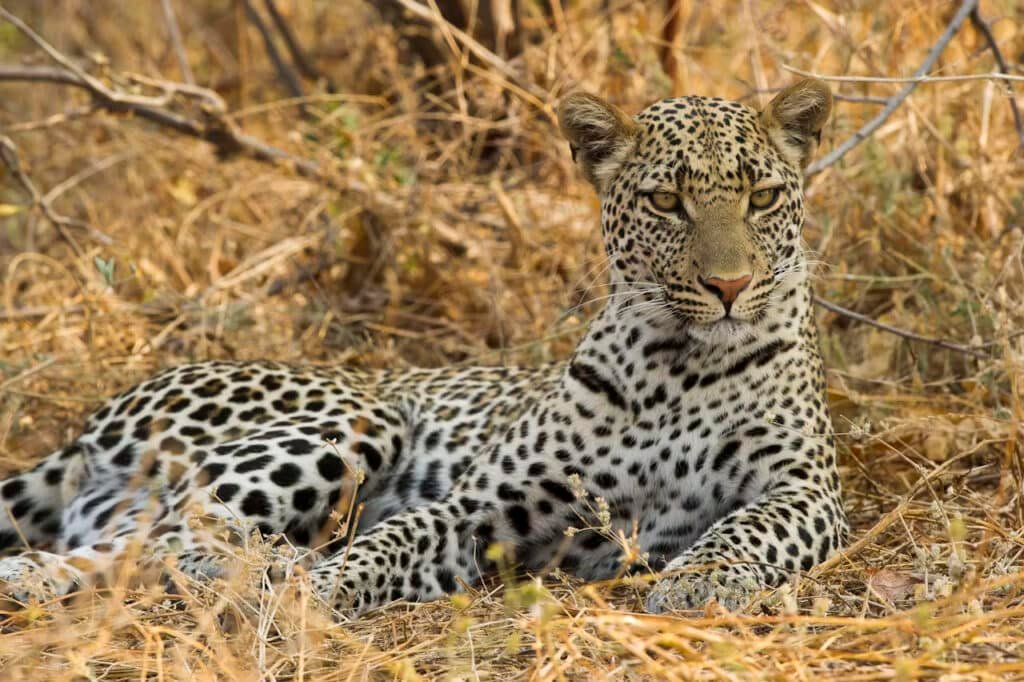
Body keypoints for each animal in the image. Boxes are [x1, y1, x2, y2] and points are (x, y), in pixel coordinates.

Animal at [0, 78, 847, 617]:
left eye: (763, 197)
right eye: (667, 202)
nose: (730, 286)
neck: (678, 365)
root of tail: (95, 418)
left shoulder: (806, 491)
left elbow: (742, 528)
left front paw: (700, 579)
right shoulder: (481, 503)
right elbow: (396, 535)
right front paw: (318, 589)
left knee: (128, 549)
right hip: (354, 418)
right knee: (171, 533)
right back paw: (261, 566)